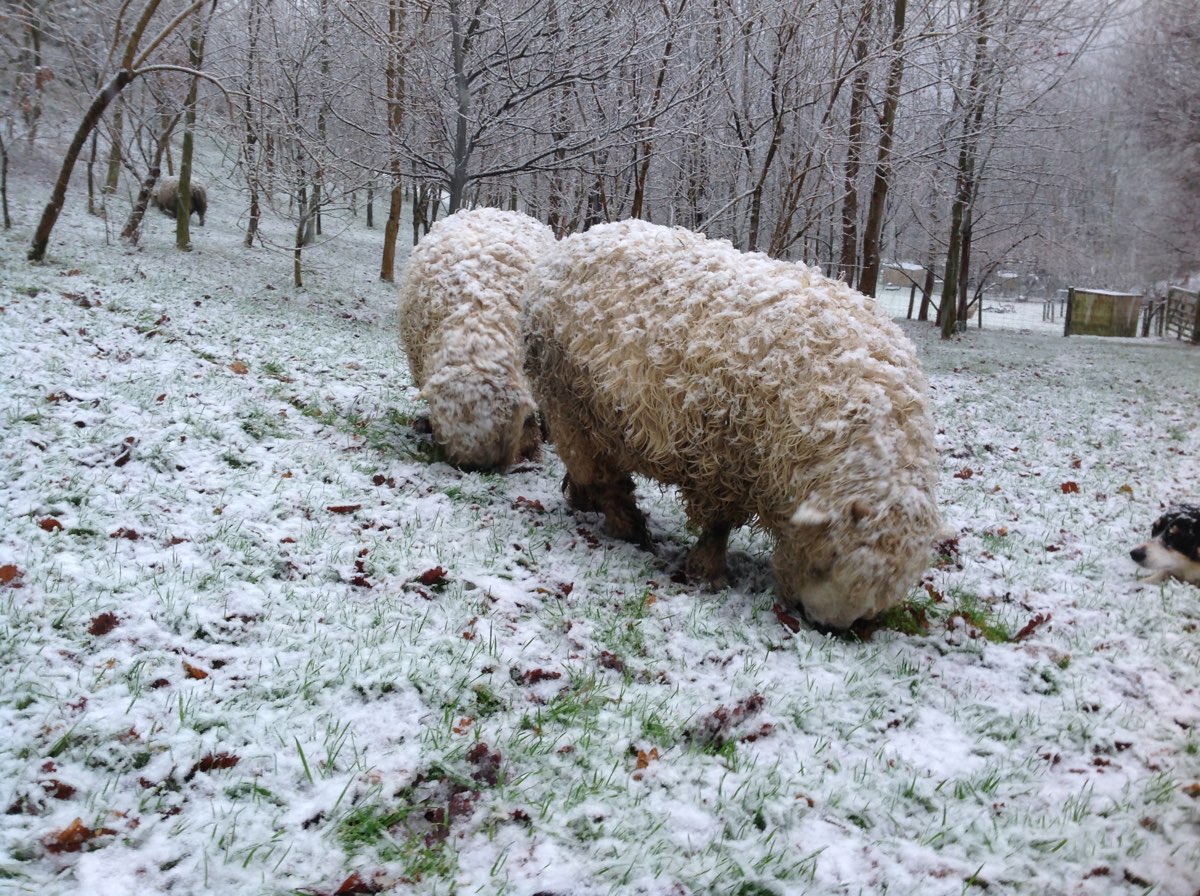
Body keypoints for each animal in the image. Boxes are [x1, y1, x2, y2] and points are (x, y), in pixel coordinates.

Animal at [520, 219, 940, 628]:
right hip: (566, 400)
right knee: (597, 473)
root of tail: (572, 241)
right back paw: (628, 527)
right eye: (828, 559)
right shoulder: (721, 454)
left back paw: (584, 501)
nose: (821, 624)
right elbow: (718, 523)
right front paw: (709, 573)